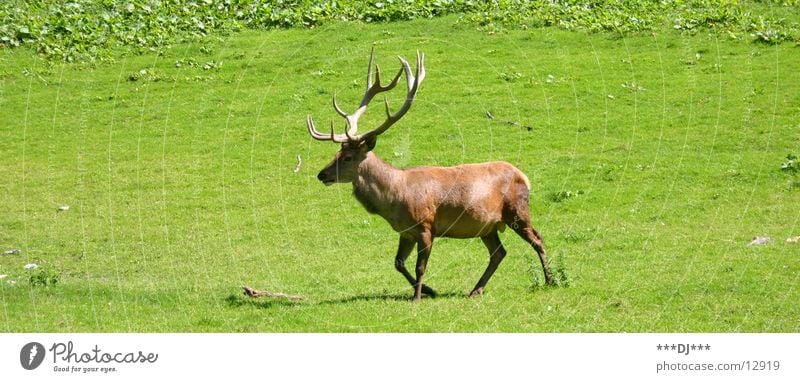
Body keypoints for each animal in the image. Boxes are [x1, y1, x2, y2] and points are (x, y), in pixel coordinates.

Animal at [306, 47, 556, 300]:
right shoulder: (406, 232)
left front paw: (417, 296)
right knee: (499, 252)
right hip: (487, 225)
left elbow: (420, 266)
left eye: (348, 157)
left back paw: (551, 280)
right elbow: (398, 263)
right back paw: (476, 289)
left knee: (537, 239)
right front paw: (429, 290)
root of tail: (524, 176)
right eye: (337, 152)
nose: (322, 175)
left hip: (517, 211)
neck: (394, 199)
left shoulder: (426, 227)